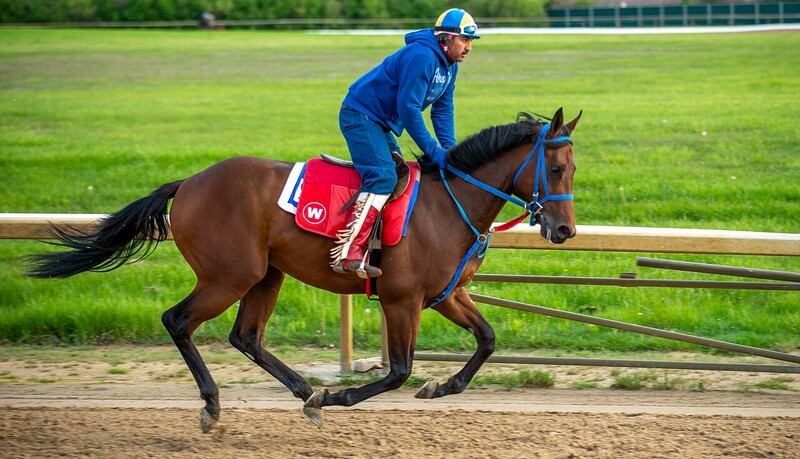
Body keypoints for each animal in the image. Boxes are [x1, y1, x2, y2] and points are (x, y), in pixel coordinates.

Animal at [26, 107, 580, 432]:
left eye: (575, 169)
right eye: (555, 168)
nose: (565, 230)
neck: (450, 202)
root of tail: (188, 183)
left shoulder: (446, 294)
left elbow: (486, 339)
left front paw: (440, 387)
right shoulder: (401, 299)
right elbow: (398, 371)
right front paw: (342, 395)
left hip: (265, 275)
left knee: (246, 336)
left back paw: (305, 392)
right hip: (229, 275)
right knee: (178, 321)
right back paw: (214, 403)